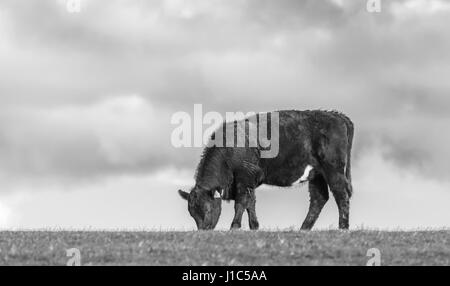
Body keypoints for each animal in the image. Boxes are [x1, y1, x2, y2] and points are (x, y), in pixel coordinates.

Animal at [178, 109, 354, 230]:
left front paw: (234, 226)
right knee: (319, 198)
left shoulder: (244, 177)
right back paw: (303, 229)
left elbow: (241, 202)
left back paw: (342, 227)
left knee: (341, 194)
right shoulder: (249, 181)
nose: (203, 230)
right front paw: (254, 226)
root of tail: (336, 115)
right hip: (317, 175)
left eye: (207, 209)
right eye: (192, 213)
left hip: (333, 169)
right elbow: (251, 203)